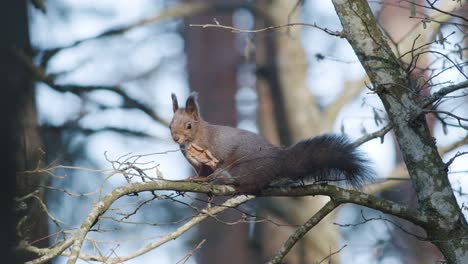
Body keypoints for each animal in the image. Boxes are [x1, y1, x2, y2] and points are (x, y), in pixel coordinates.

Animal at [169, 93, 372, 194]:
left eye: (188, 125)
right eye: (170, 124)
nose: (176, 138)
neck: (195, 138)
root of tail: (278, 161)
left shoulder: (211, 153)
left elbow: (209, 169)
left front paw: (204, 180)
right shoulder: (197, 163)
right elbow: (200, 172)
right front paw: (195, 179)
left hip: (245, 168)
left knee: (251, 186)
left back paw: (236, 186)